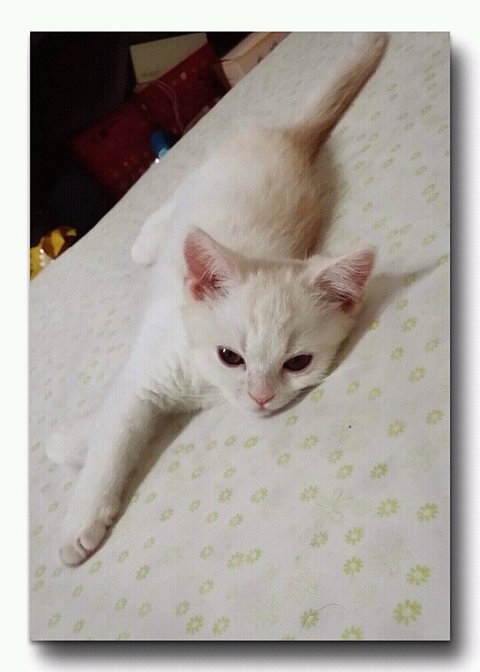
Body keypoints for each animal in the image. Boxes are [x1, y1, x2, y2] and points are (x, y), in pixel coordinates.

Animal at [53, 32, 388, 565]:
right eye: (230, 356)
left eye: (298, 363)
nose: (260, 397)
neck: (200, 376)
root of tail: (291, 139)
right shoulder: (151, 363)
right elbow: (113, 433)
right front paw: (78, 522)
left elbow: (109, 414)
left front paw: (69, 445)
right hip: (208, 173)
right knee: (173, 197)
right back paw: (147, 239)